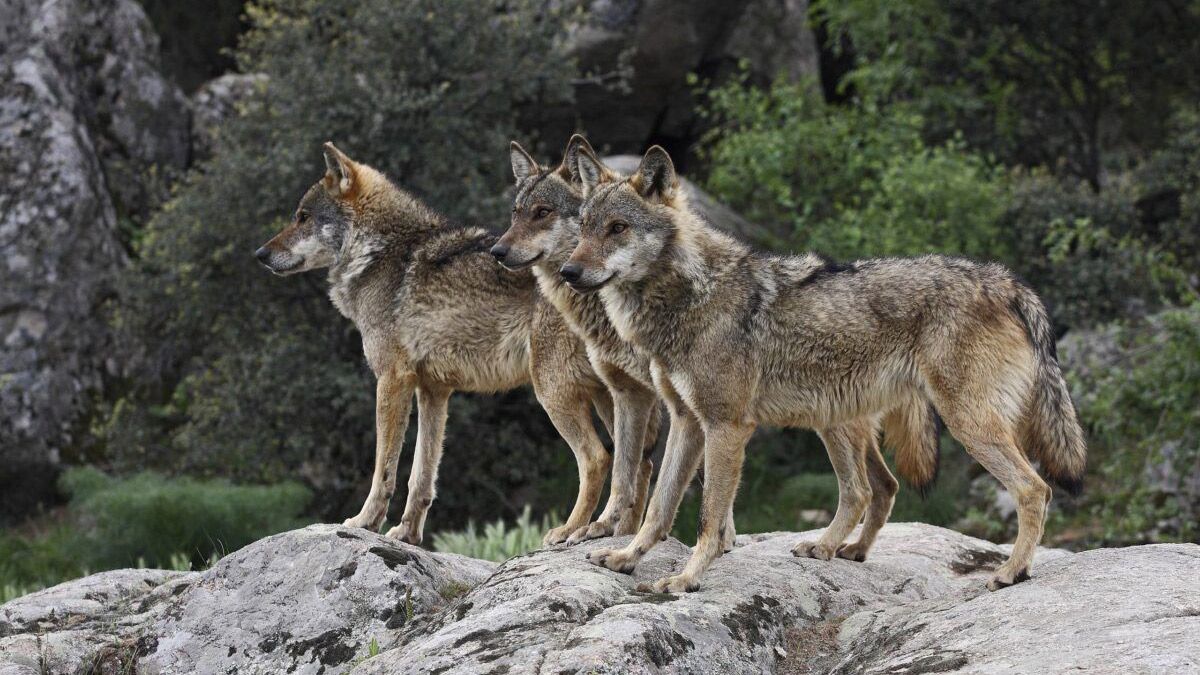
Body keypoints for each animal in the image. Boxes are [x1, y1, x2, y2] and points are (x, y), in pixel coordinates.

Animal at [566, 141, 1084, 588]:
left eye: (617, 228)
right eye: (584, 227)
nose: (570, 272)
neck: (691, 295)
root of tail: (1008, 282)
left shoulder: (726, 426)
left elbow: (709, 518)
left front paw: (687, 579)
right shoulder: (687, 421)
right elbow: (659, 507)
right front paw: (625, 557)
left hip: (963, 424)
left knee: (1033, 489)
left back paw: (1011, 572)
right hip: (836, 418)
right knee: (867, 490)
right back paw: (836, 548)